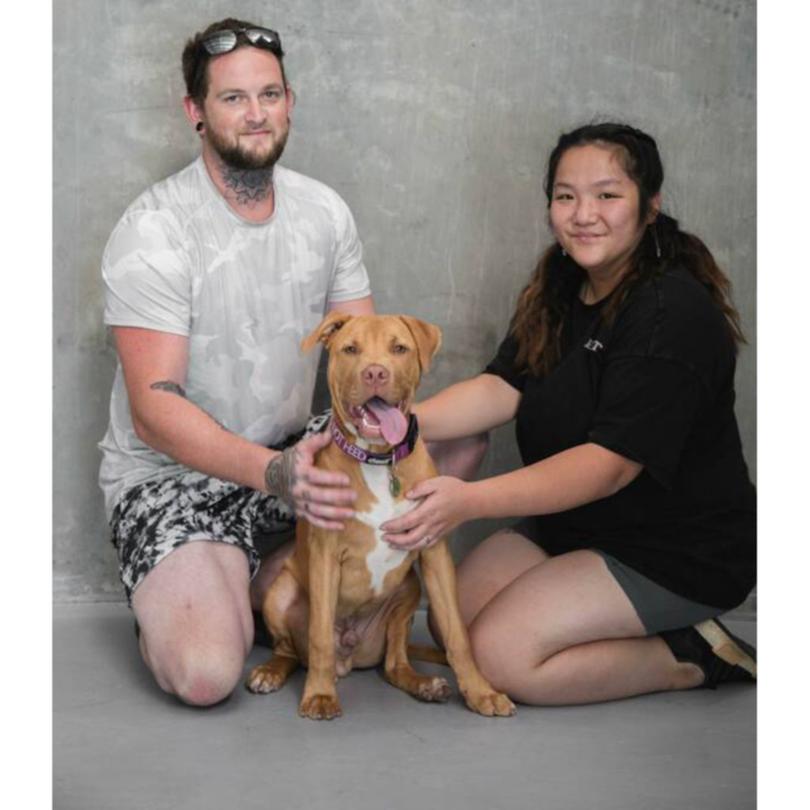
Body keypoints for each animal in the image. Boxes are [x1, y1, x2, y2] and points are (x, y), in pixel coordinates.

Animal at [243, 312, 516, 716]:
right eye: (350, 349)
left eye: (399, 348)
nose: (375, 373)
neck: (379, 460)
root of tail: (349, 657)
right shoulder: (325, 555)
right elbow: (320, 634)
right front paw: (320, 695)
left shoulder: (434, 552)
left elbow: (457, 633)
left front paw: (481, 692)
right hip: (281, 593)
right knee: (291, 649)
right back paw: (272, 671)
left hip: (408, 591)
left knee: (394, 664)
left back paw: (423, 684)